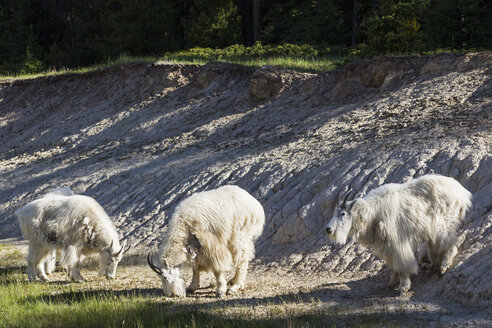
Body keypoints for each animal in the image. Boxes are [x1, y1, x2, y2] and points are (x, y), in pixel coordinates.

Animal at [324, 176, 470, 296]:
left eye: (342, 213)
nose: (328, 229)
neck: (371, 213)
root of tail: (463, 193)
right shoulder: (386, 244)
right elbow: (392, 264)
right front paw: (391, 283)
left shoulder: (397, 242)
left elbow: (402, 264)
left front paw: (403, 287)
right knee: (436, 249)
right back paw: (430, 265)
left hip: (443, 225)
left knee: (448, 244)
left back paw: (444, 266)